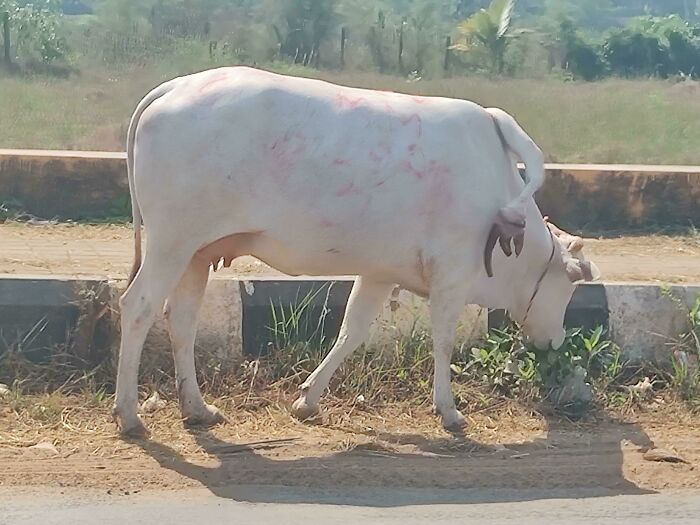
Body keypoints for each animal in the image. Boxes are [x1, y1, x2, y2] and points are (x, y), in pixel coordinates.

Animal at [112, 66, 600, 436]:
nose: (555, 340)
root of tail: (175, 87)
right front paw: (449, 410)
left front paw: (307, 400)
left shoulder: (380, 273)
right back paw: (129, 415)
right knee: (137, 307)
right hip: (171, 244)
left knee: (181, 320)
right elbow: (443, 342)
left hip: (196, 253)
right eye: (569, 287)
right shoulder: (452, 276)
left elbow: (351, 332)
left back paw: (197, 408)